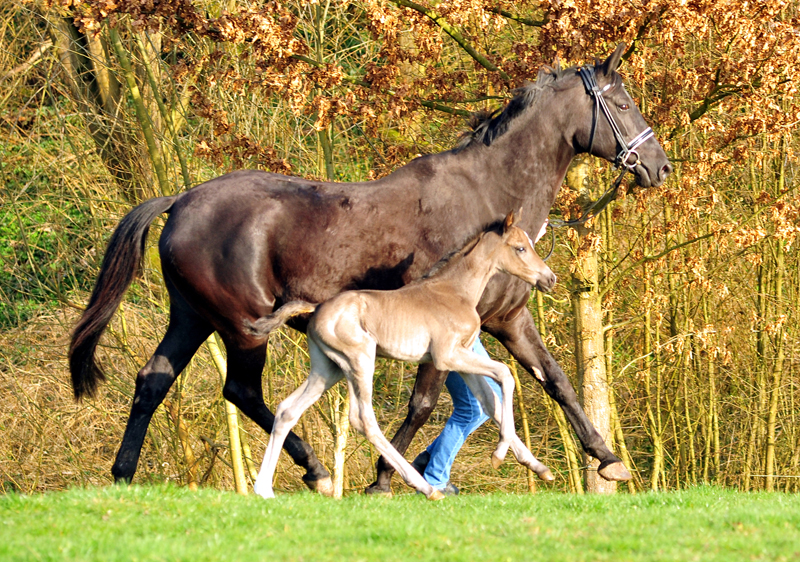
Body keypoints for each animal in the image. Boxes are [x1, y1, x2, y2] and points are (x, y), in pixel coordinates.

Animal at [250, 211, 556, 498]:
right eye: (520, 248)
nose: (549, 278)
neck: (456, 292)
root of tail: (316, 308)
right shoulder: (447, 356)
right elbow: (505, 374)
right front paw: (499, 454)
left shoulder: (463, 359)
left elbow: (490, 402)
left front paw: (539, 468)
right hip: (360, 360)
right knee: (363, 419)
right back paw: (426, 488)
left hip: (328, 369)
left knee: (287, 410)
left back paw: (264, 489)